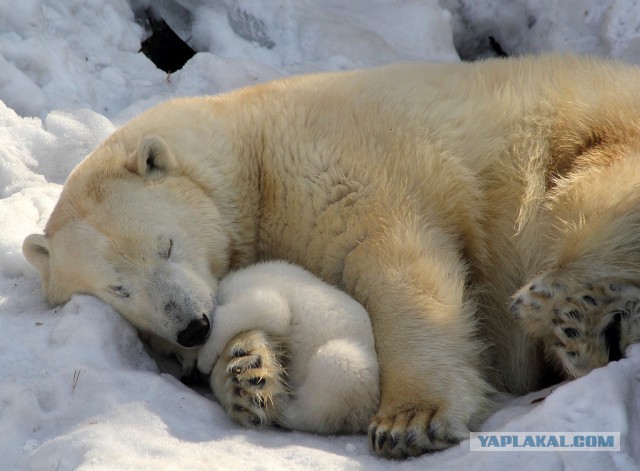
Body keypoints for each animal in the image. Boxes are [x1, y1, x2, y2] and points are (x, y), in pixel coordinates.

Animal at [192, 262, 378, 436]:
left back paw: (282, 406)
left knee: (331, 381)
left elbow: (270, 310)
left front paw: (204, 359)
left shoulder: (255, 291)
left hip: (349, 363)